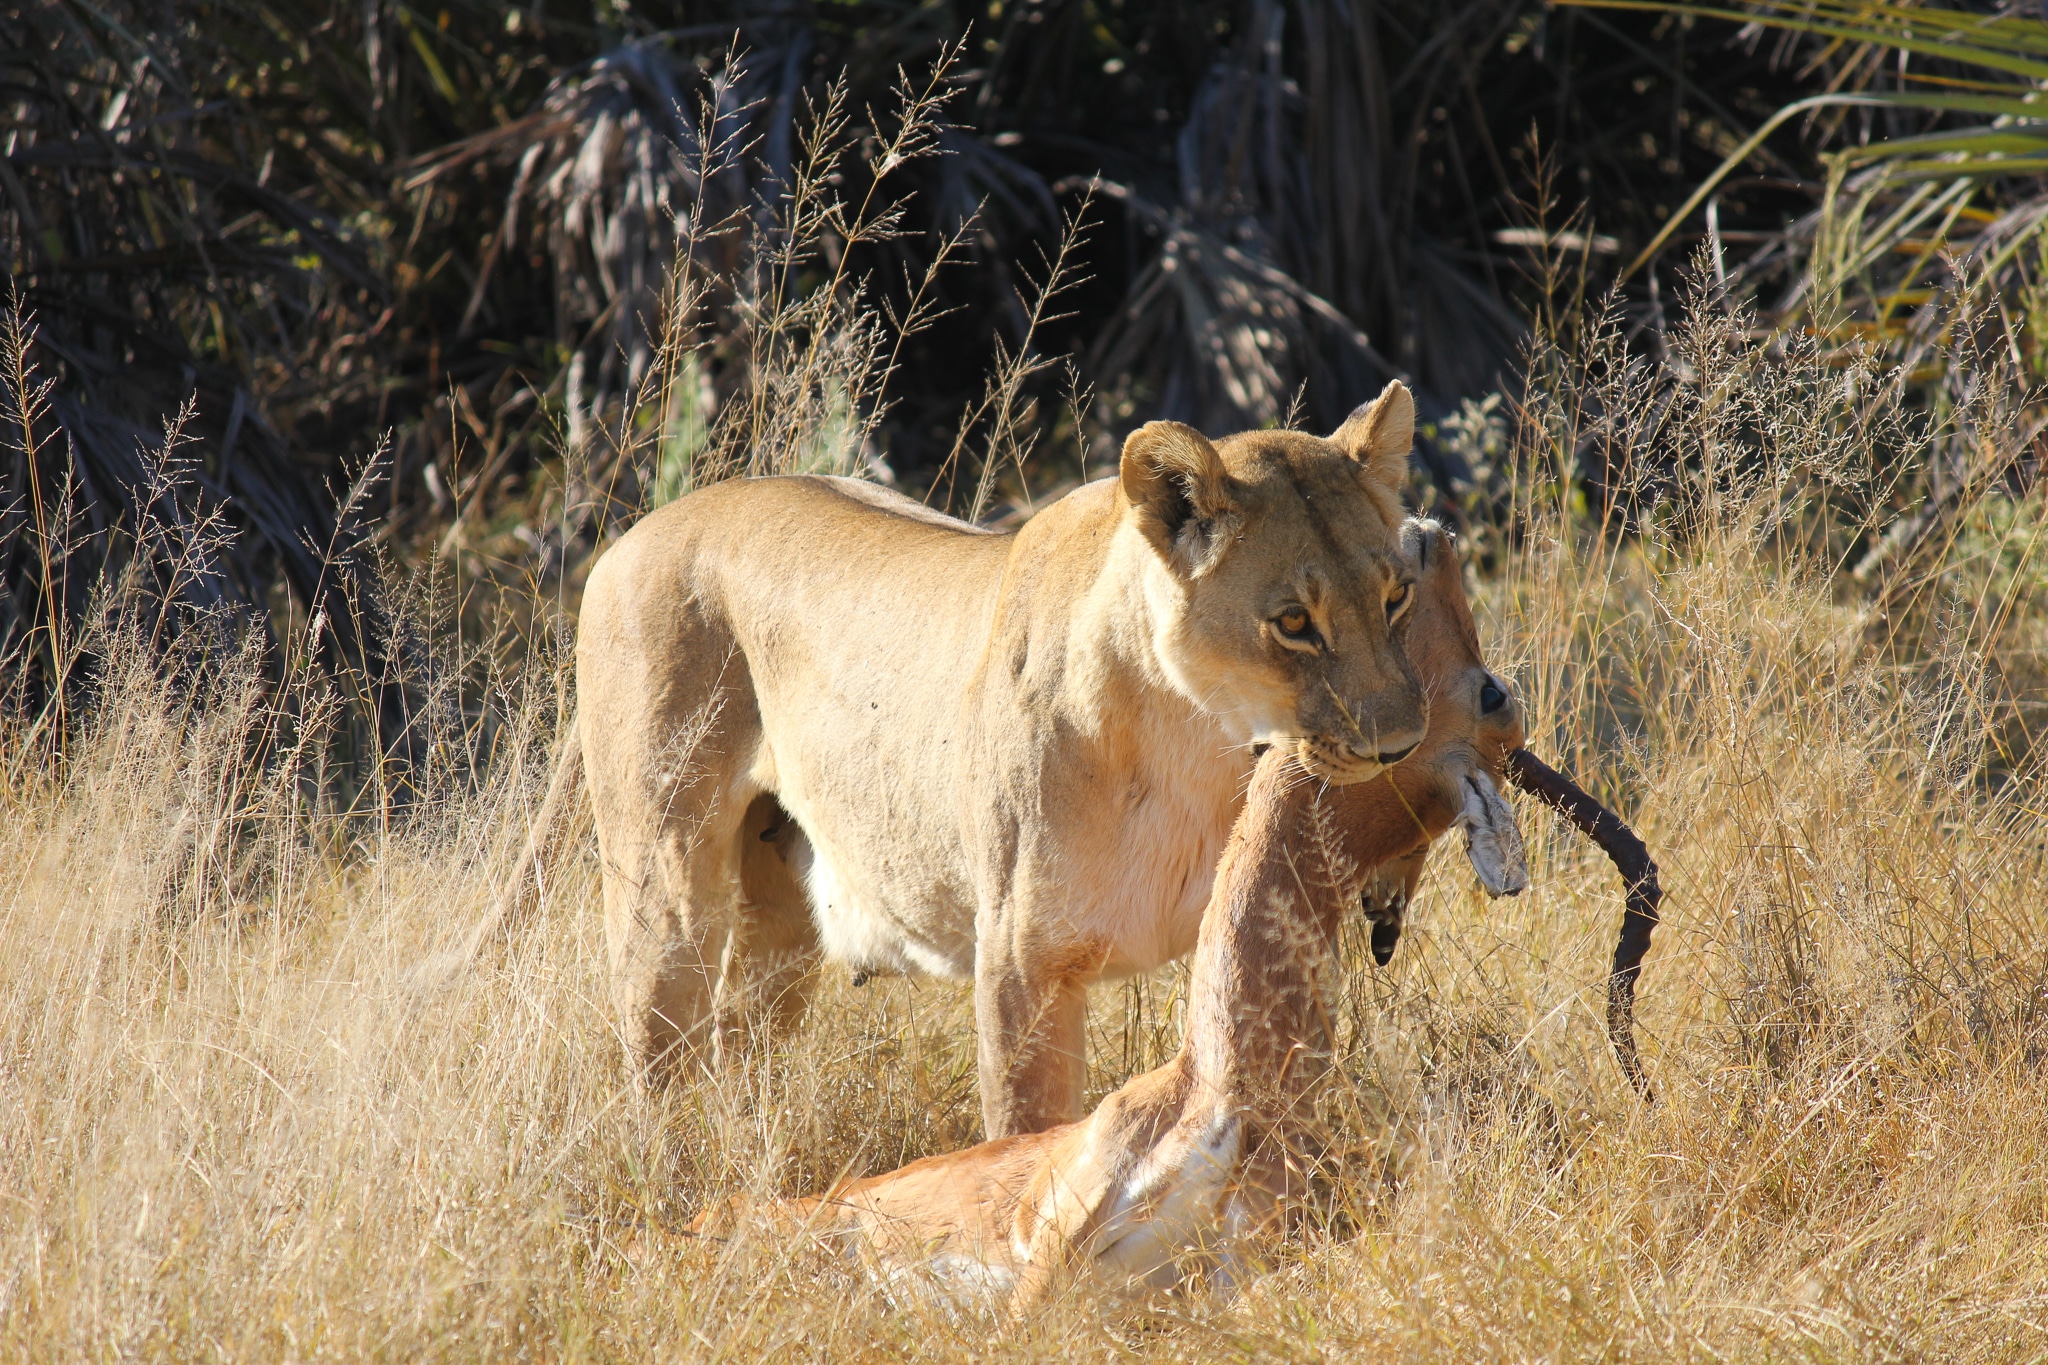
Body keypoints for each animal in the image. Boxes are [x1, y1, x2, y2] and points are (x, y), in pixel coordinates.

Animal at [564, 382, 1430, 1138]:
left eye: (1396, 597)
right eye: (1294, 623)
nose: (1401, 748)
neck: (1198, 741)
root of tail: (632, 535)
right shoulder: (1020, 956)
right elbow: (1024, 1124)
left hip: (776, 910)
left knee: (736, 1042)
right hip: (663, 890)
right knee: (657, 1054)